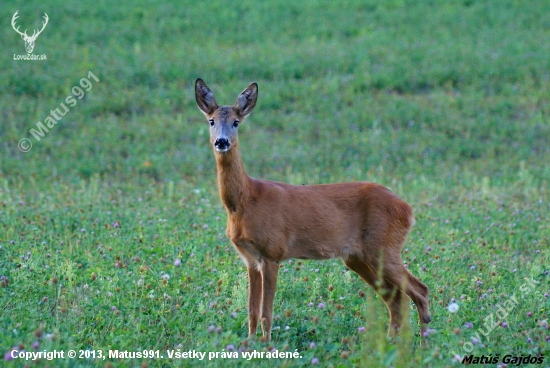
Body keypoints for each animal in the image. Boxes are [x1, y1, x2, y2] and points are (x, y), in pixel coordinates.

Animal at [196, 79, 434, 340]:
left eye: (236, 122)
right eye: (211, 121)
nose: (222, 142)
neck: (246, 201)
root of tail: (408, 209)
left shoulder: (273, 252)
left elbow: (267, 313)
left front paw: (266, 345)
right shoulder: (250, 259)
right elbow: (252, 311)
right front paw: (249, 344)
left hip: (384, 247)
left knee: (420, 290)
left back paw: (424, 344)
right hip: (358, 257)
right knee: (396, 298)